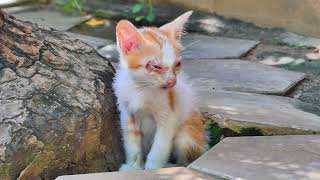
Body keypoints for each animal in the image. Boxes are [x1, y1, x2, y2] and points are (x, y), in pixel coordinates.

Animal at [112, 10, 208, 171]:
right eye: (155, 66)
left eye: (178, 64)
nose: (172, 81)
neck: (142, 89)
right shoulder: (128, 114)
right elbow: (132, 145)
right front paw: (133, 167)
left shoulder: (168, 116)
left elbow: (159, 148)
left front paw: (153, 169)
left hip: (188, 132)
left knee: (186, 159)